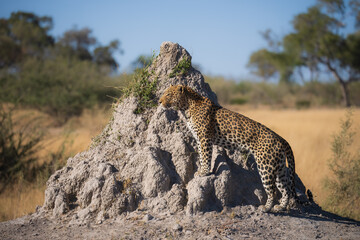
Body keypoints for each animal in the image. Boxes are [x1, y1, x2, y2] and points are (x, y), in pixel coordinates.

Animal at [159, 84, 300, 212]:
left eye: (168, 94)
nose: (159, 101)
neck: (187, 106)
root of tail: (280, 138)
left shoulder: (204, 139)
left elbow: (206, 156)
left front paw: (204, 172)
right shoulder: (199, 139)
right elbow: (201, 155)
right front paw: (202, 170)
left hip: (265, 165)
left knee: (273, 190)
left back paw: (266, 208)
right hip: (279, 167)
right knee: (286, 188)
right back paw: (280, 207)